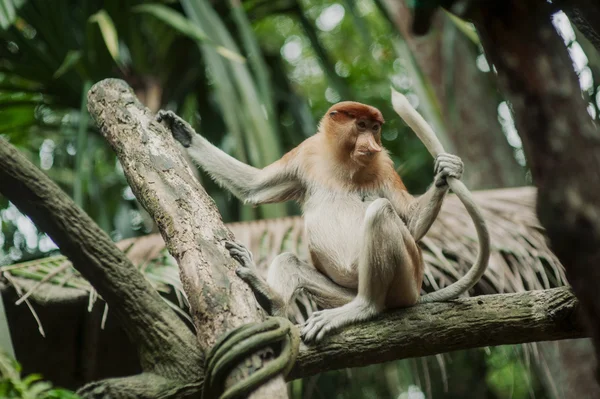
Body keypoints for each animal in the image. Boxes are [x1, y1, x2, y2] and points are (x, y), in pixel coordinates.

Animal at [156, 101, 464, 342]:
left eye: (375, 128)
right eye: (361, 125)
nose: (372, 145)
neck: (343, 161)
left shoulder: (384, 164)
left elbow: (410, 222)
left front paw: (447, 170)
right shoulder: (306, 152)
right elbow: (254, 186)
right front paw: (182, 131)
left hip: (406, 280)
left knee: (380, 211)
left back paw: (363, 307)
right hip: (341, 291)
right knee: (288, 260)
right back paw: (271, 297)